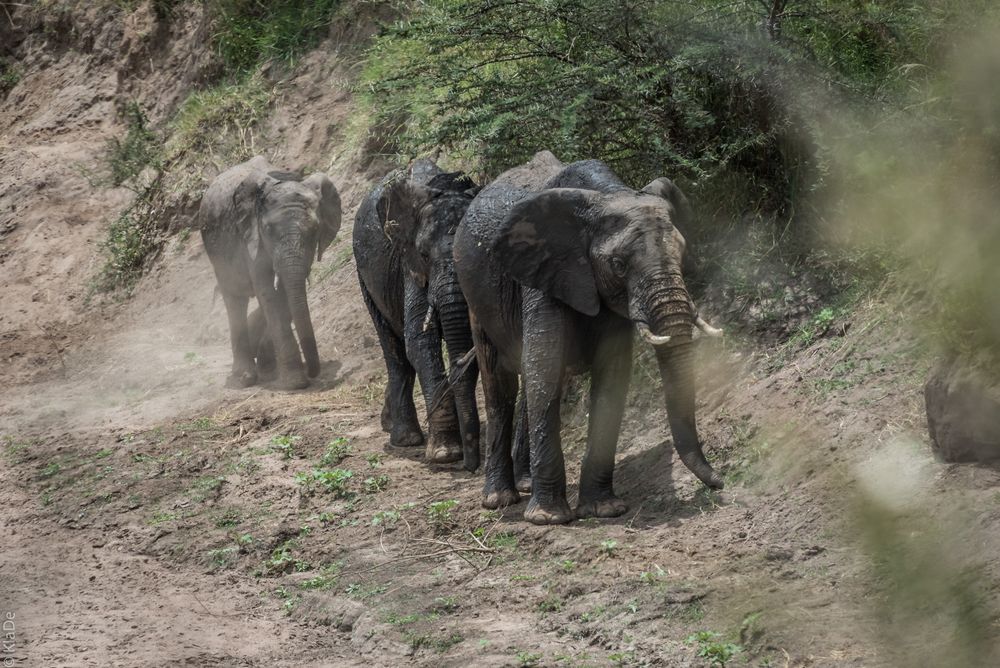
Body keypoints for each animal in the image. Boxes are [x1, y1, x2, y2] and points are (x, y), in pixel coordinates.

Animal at [199, 154, 344, 388]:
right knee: (235, 300)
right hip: (217, 252)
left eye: (315, 231)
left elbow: (285, 293)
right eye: (268, 230)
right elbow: (267, 291)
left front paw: (272, 371)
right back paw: (244, 378)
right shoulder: (250, 237)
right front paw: (295, 383)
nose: (313, 373)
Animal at [356, 160, 484, 470]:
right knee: (395, 350)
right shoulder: (408, 263)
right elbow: (419, 343)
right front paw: (446, 454)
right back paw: (406, 438)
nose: (472, 466)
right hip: (366, 279)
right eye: (424, 255)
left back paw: (389, 423)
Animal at [452, 153, 720, 528]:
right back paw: (500, 498)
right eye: (619, 265)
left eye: (682, 256)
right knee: (500, 387)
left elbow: (611, 378)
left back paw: (525, 483)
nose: (718, 482)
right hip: (475, 297)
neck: (610, 194)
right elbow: (546, 370)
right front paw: (549, 518)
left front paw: (604, 510)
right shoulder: (543, 276)